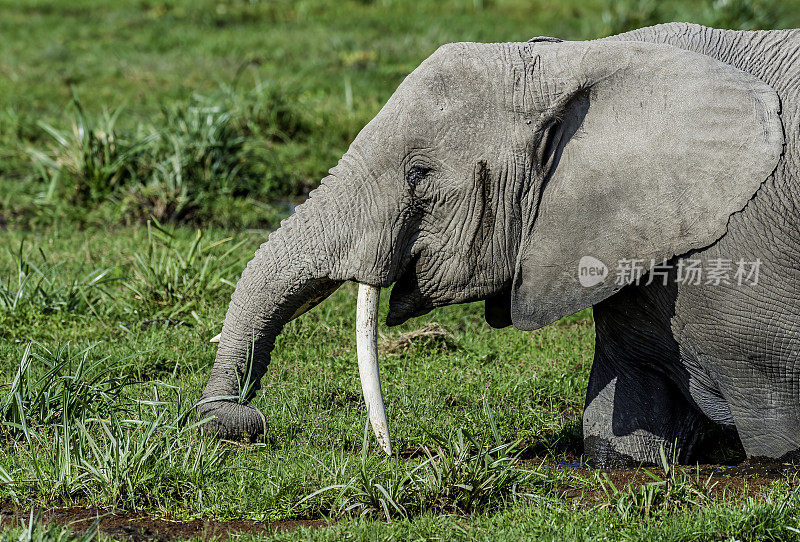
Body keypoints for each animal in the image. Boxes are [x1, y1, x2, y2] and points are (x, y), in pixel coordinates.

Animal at [198, 22, 800, 468]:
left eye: (420, 175)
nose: (238, 424)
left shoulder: (744, 264)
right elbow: (620, 434)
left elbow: (777, 439)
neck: (586, 59)